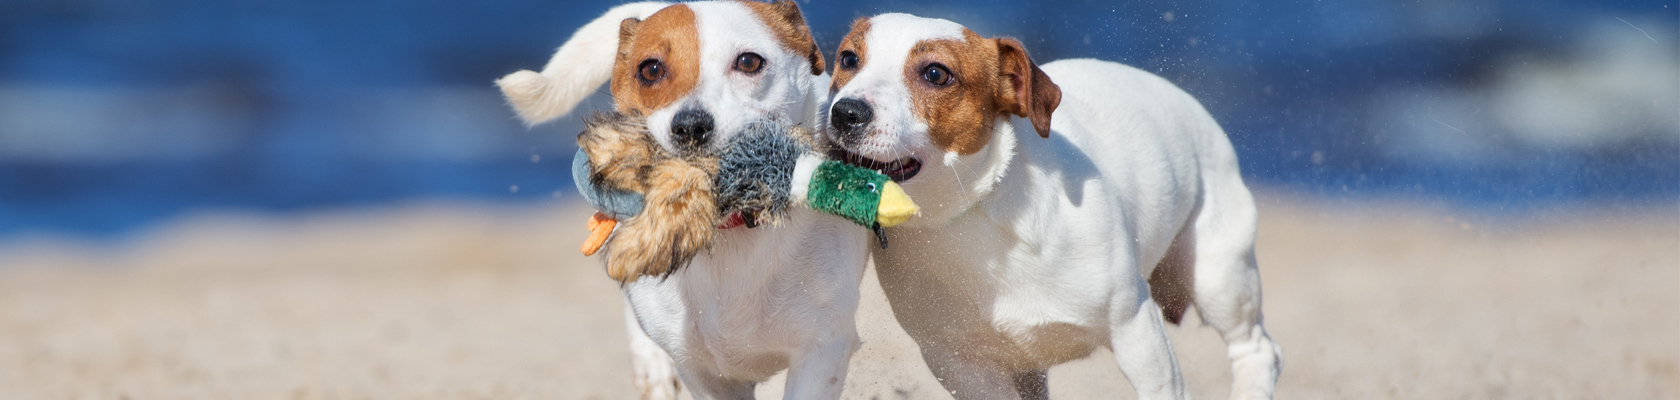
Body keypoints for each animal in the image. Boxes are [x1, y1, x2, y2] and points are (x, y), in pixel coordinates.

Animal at [493, 1, 866, 398]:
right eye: (651, 69)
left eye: (749, 62)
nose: (690, 125)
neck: (730, 228)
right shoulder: (704, 372)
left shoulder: (821, 352)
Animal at [819, 12, 1276, 400]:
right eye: (848, 58)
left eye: (935, 73)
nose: (845, 112)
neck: (974, 212)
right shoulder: (960, 364)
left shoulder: (1134, 328)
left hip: (1218, 273)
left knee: (1255, 348)